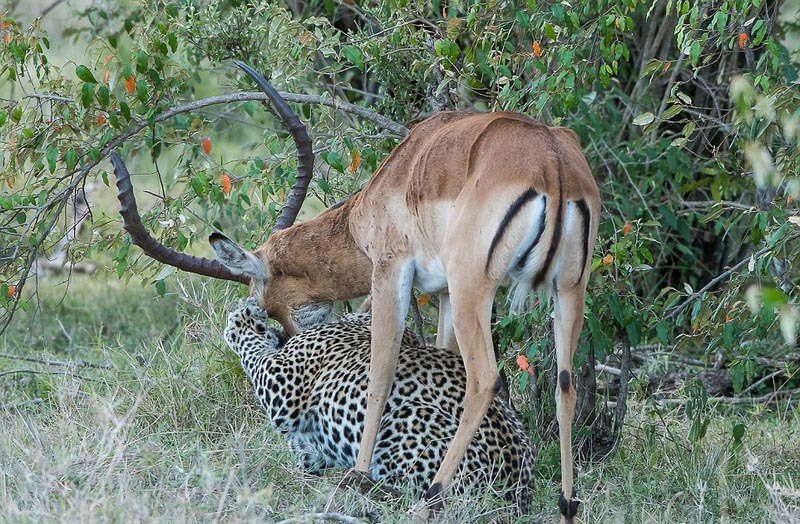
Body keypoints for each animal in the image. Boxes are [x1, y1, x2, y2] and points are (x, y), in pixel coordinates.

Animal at [223, 296, 536, 512]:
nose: (277, 329)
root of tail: (515, 496)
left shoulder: (283, 386)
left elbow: (253, 350)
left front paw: (243, 318)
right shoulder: (308, 449)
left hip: (407, 419)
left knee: (414, 496)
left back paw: (360, 487)